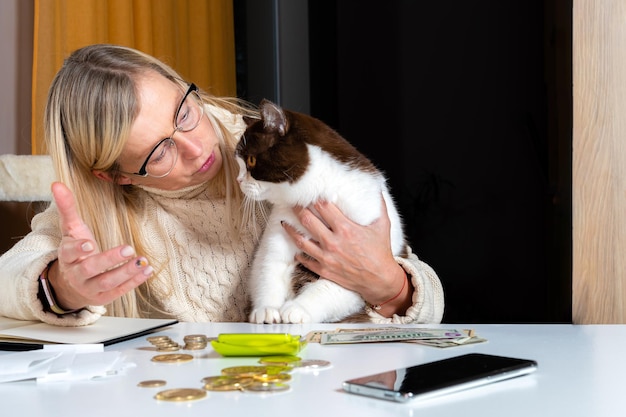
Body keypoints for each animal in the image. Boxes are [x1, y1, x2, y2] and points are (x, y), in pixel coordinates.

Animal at [235, 99, 404, 324]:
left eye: (251, 161)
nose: (238, 180)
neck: (316, 192)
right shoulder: (279, 227)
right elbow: (267, 268)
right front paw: (266, 309)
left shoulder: (359, 259)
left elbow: (330, 288)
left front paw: (296, 309)